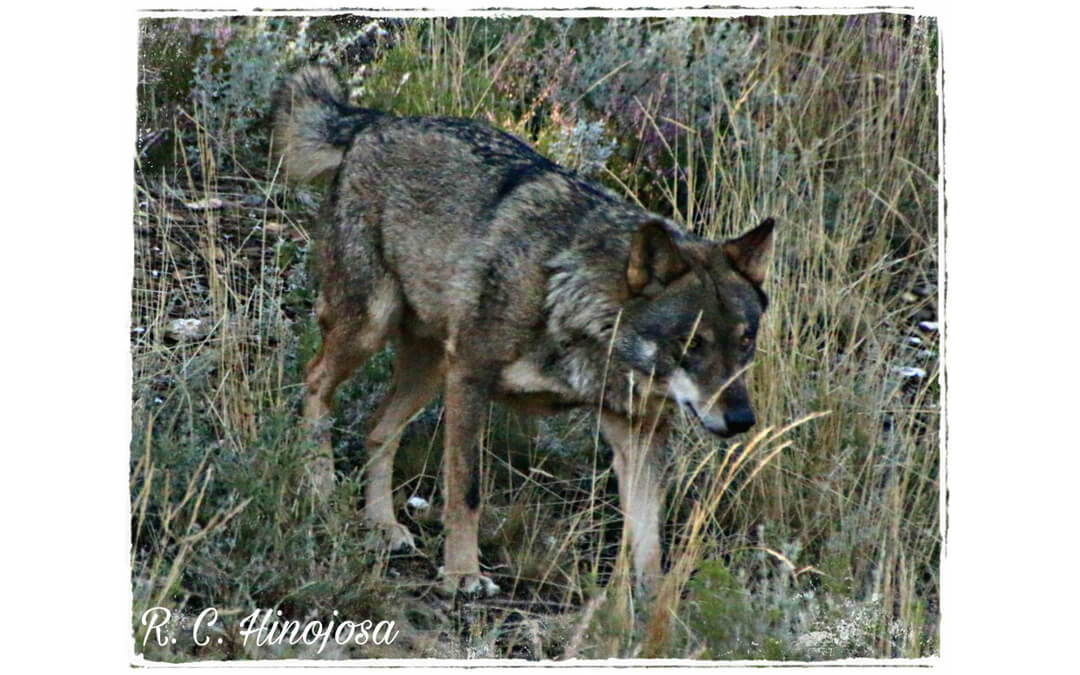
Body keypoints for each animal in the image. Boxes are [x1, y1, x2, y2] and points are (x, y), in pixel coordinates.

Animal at [273, 67, 775, 597]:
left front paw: (654, 604)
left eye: (745, 342)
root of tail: (377, 120)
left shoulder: (640, 432)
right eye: (692, 343)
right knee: (316, 385)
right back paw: (321, 490)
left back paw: (383, 526)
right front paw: (463, 574)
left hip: (429, 368)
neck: (569, 297)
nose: (741, 419)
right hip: (372, 331)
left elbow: (649, 536)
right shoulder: (471, 379)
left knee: (377, 429)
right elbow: (466, 491)